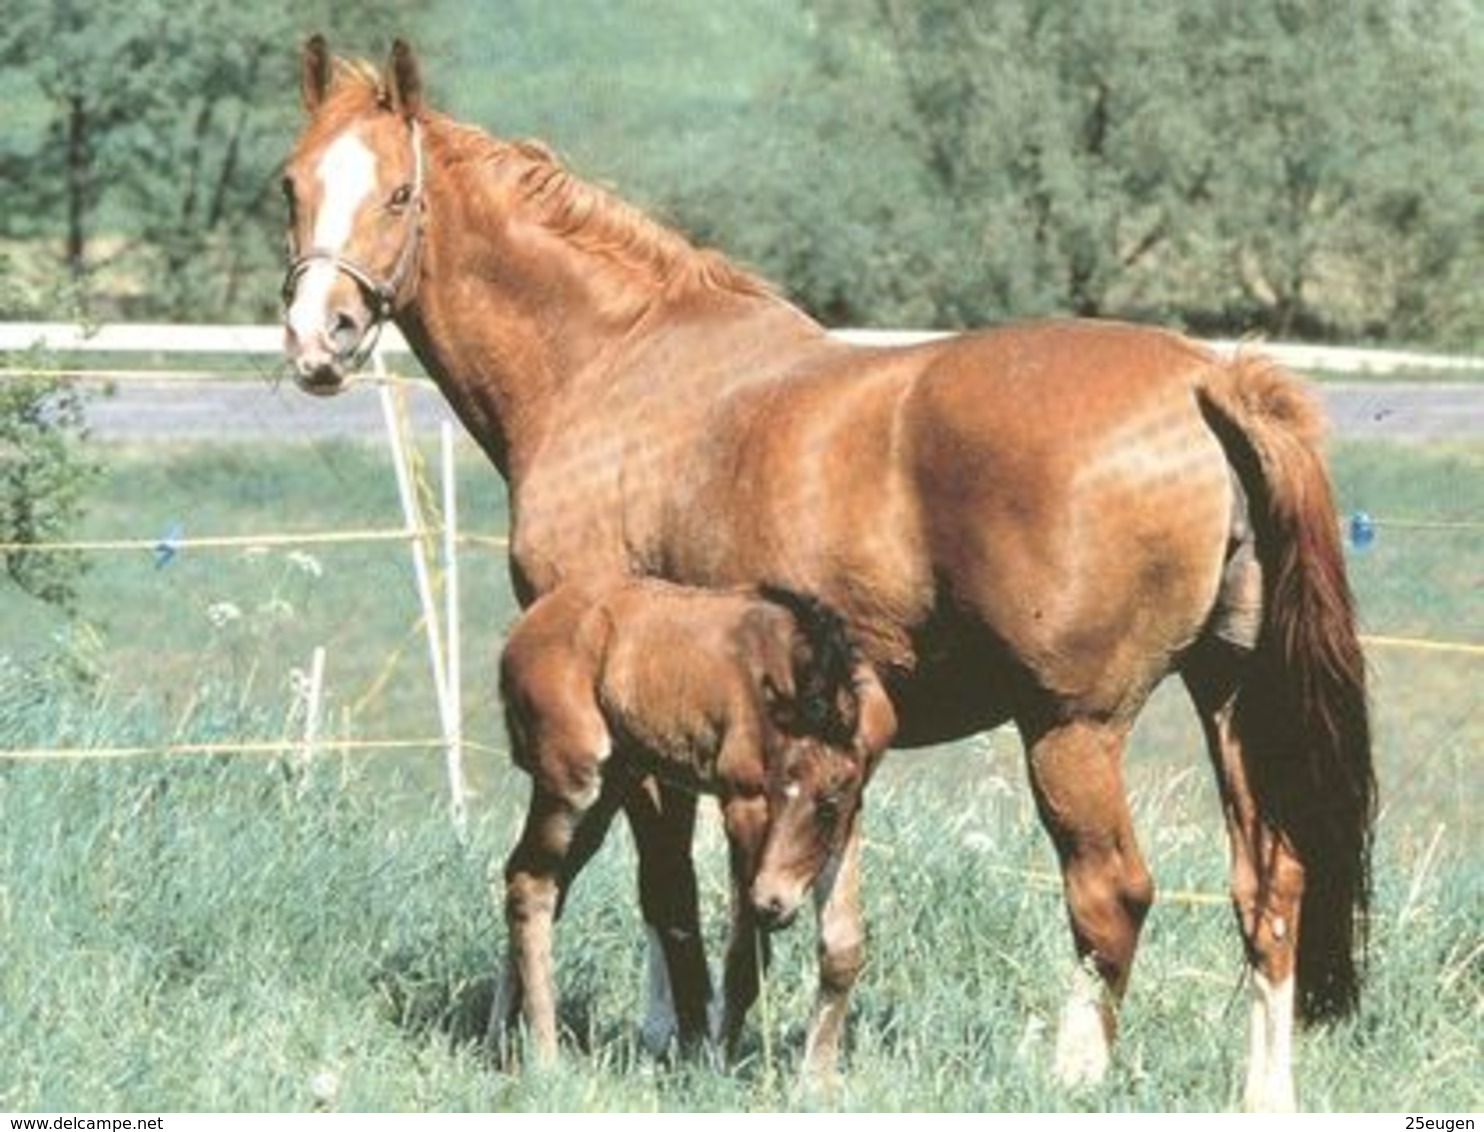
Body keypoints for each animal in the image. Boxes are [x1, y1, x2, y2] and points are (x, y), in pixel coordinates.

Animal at [283, 39, 1371, 1109]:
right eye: (291, 183)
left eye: (397, 194)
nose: (314, 339)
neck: (612, 365)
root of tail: (1204, 379)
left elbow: (665, 883)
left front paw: (682, 1038)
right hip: (1229, 699)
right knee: (1269, 885)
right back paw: (1261, 1093)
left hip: (1074, 728)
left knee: (1112, 892)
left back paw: (1073, 1075)